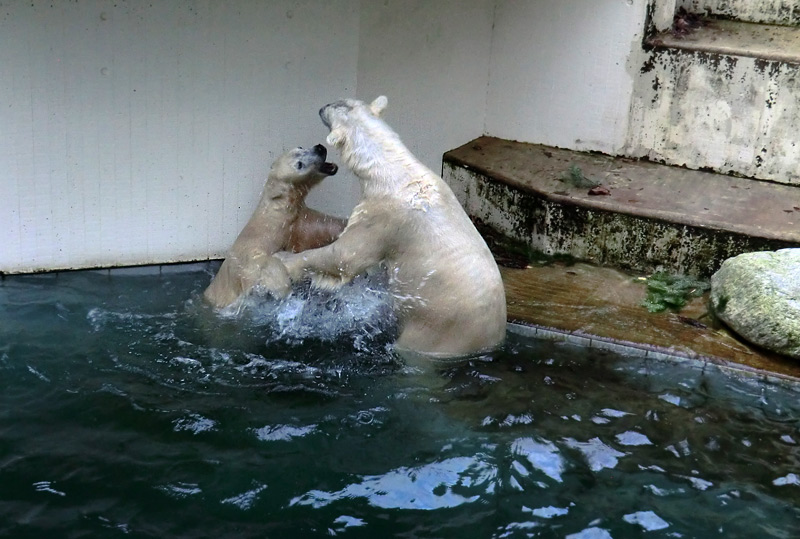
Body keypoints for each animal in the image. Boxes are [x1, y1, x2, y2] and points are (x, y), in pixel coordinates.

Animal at [276, 97, 506, 358]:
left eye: (335, 109)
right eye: (343, 102)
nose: (322, 106)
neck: (393, 169)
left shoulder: (382, 217)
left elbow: (346, 255)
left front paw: (285, 260)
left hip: (438, 332)